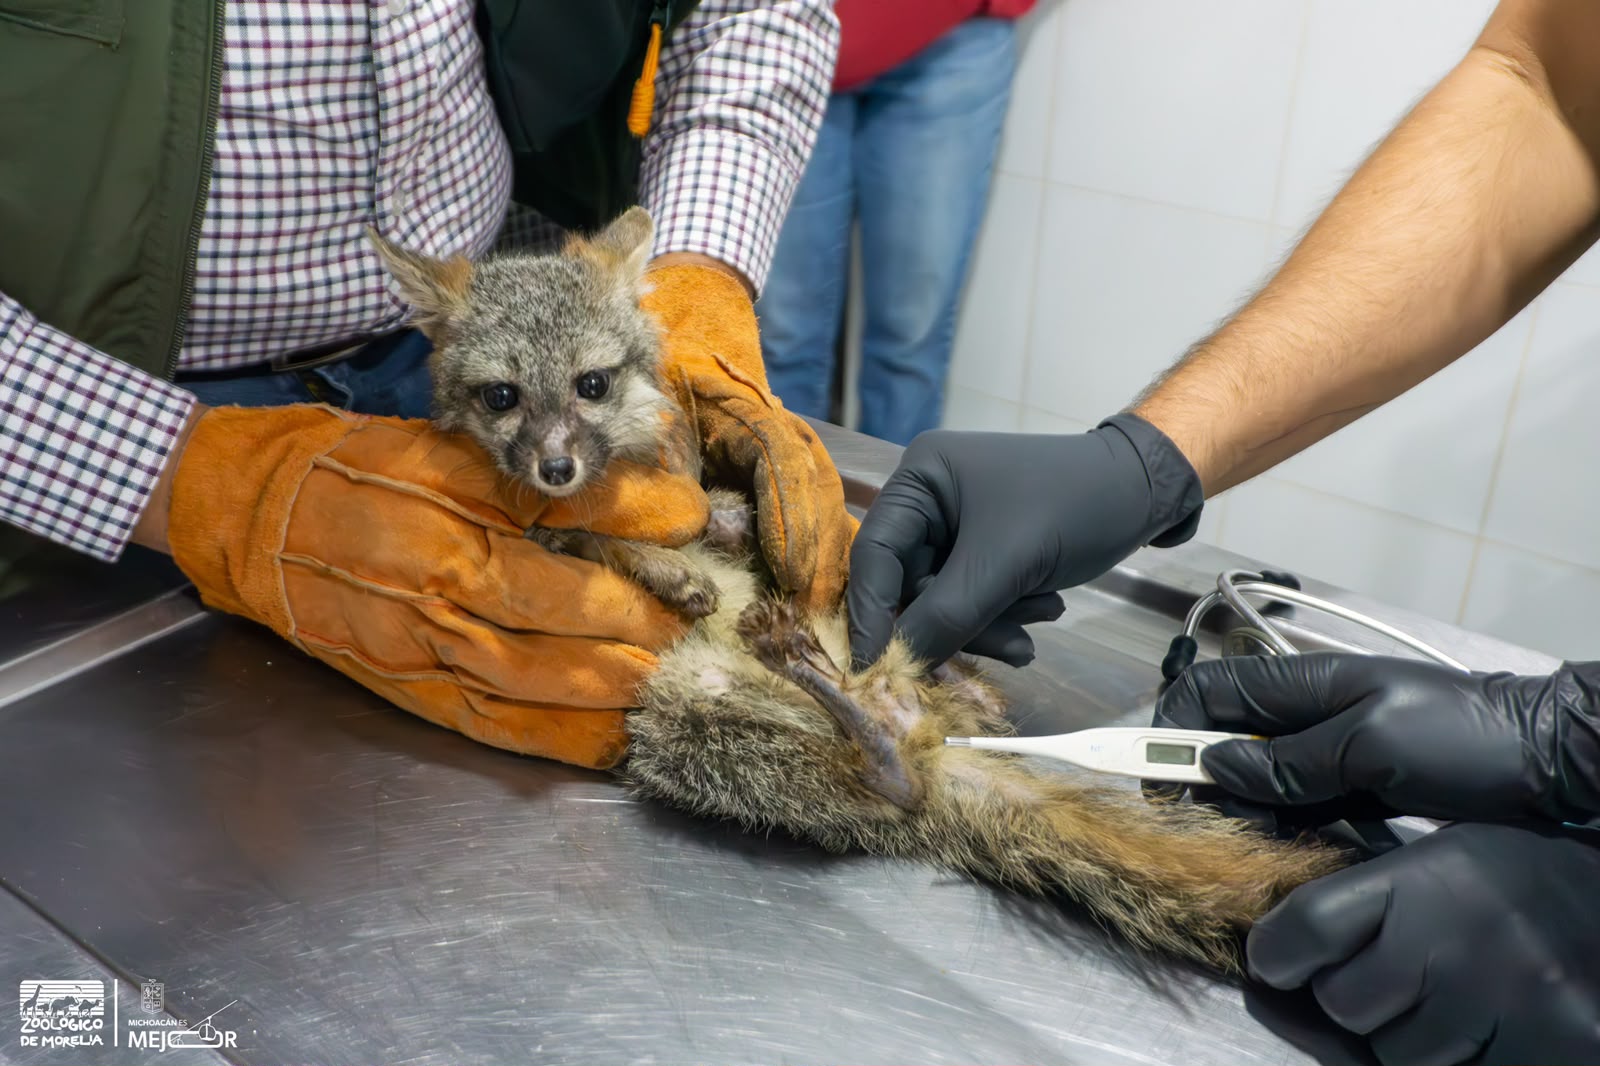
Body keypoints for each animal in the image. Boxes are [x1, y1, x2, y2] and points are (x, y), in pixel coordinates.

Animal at [365, 208, 1350, 973]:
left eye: (591, 385)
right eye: (501, 398)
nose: (556, 466)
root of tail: (934, 742)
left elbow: (706, 519)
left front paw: (718, 527)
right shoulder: (549, 533)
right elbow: (589, 539)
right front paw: (656, 560)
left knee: (910, 749)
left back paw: (843, 672)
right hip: (680, 715)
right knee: (892, 784)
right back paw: (835, 698)